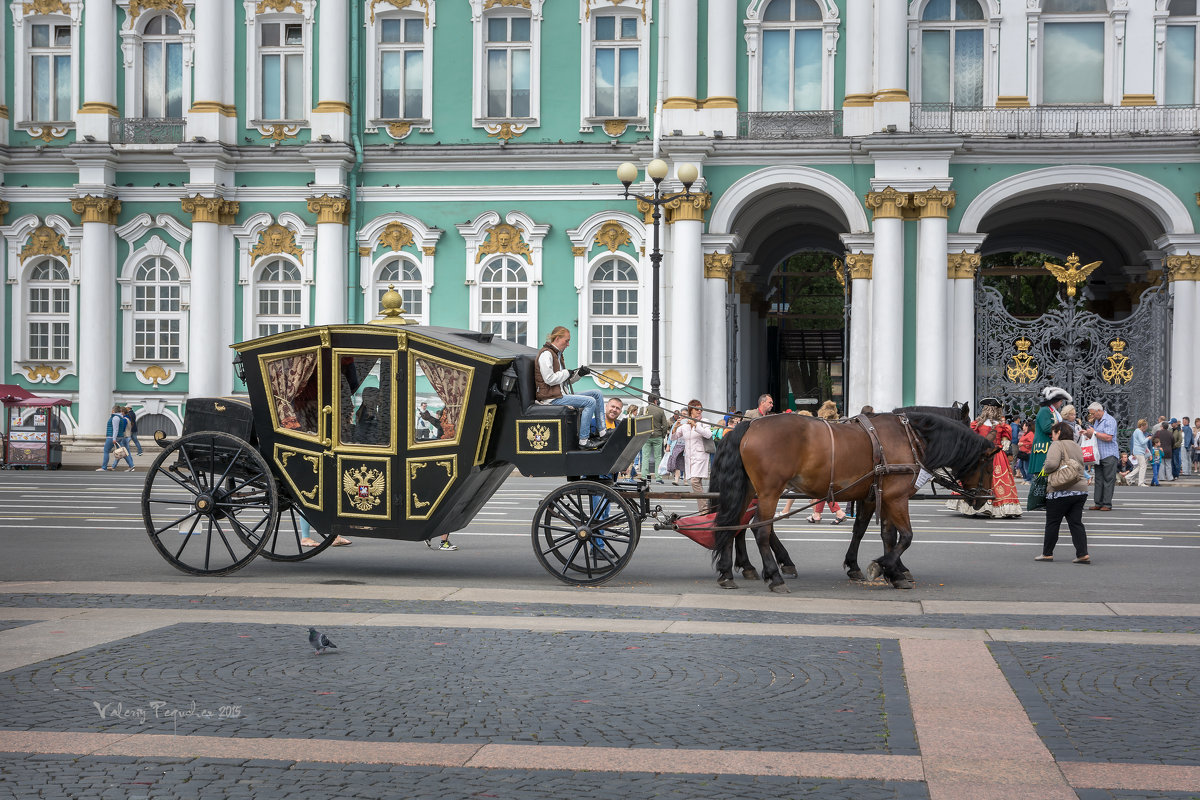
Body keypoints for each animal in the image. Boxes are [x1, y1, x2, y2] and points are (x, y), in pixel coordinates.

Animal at [710, 410, 993, 592]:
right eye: (989, 463)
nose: (985, 498)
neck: (909, 437)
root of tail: (750, 425)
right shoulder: (897, 497)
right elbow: (905, 537)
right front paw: (883, 566)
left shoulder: (877, 497)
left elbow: (878, 534)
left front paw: (885, 570)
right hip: (769, 491)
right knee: (760, 529)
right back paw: (775, 576)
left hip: (748, 490)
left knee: (733, 524)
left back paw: (728, 572)